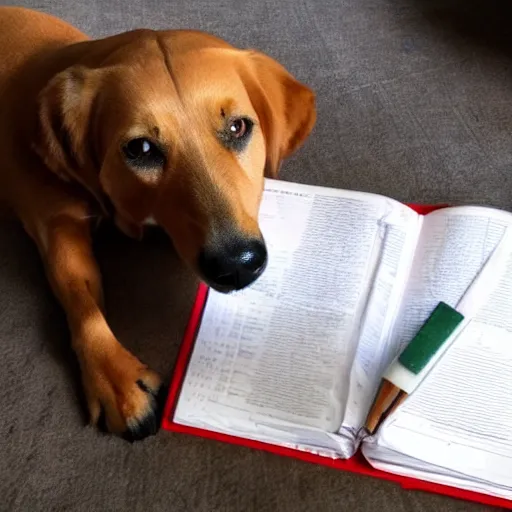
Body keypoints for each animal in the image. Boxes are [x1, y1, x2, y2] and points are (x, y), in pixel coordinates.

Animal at [0, 5, 316, 440]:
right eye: (141, 148)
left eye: (238, 127)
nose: (237, 265)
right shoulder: (55, 225)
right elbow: (79, 297)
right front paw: (116, 379)